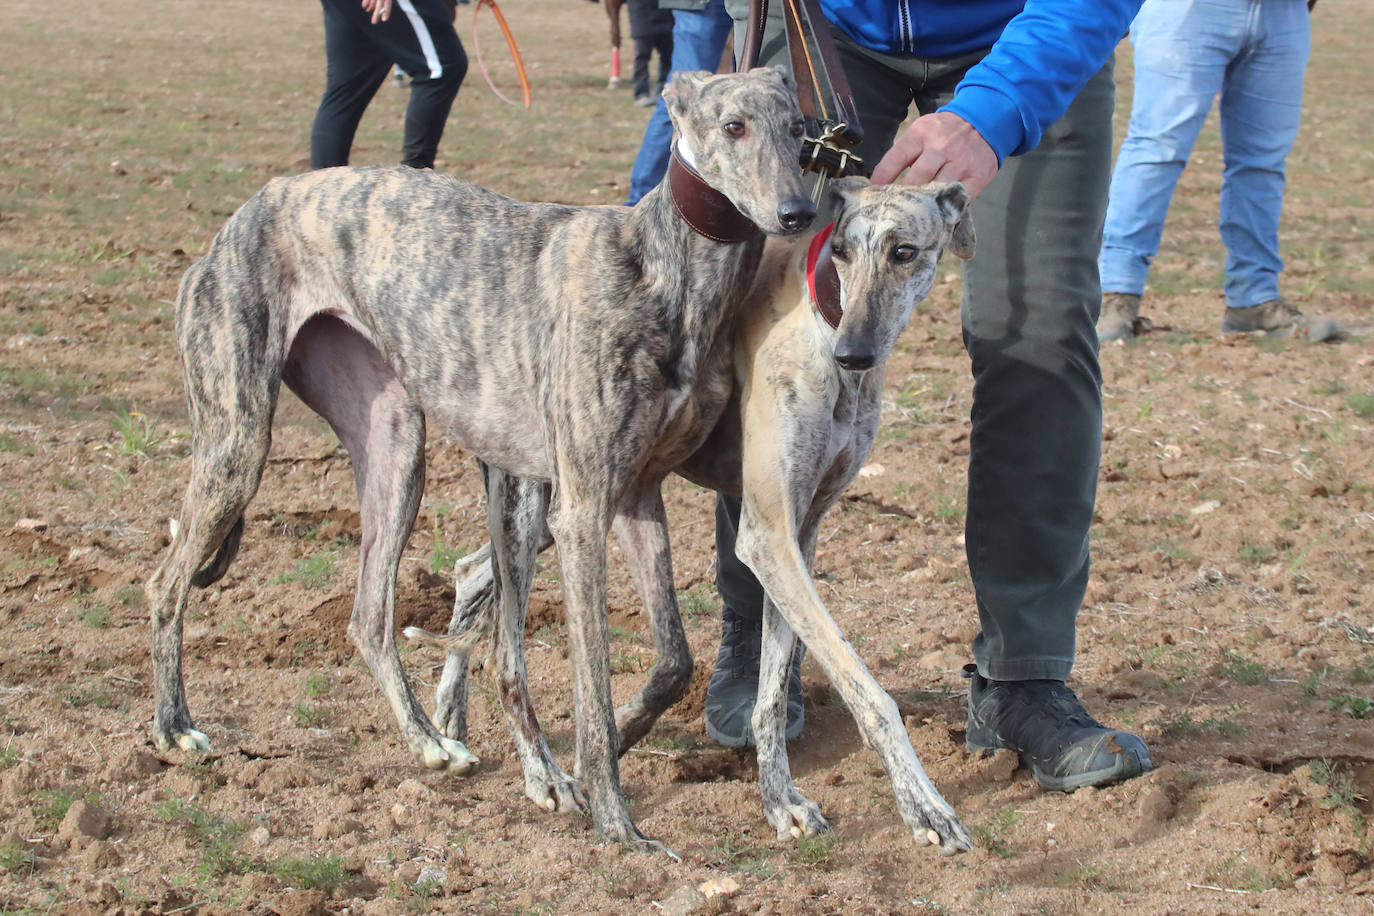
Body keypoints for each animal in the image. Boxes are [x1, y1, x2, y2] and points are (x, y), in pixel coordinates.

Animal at [147, 67, 813, 856]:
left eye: (800, 131)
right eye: (734, 127)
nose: (799, 212)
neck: (661, 267)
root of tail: (238, 221)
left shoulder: (634, 496)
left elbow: (675, 659)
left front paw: (614, 754)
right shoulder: (585, 509)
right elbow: (587, 690)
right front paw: (619, 826)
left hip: (398, 449)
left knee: (372, 617)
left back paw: (434, 742)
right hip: (239, 442)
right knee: (166, 584)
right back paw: (174, 727)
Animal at [412, 177, 983, 851]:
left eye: (904, 252)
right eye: (840, 250)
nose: (854, 355)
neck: (821, 321)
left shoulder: (800, 535)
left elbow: (770, 693)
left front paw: (780, 800)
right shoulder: (767, 536)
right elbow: (871, 694)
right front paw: (926, 807)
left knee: (473, 572)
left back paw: (450, 716)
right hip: (540, 500)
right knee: (499, 608)